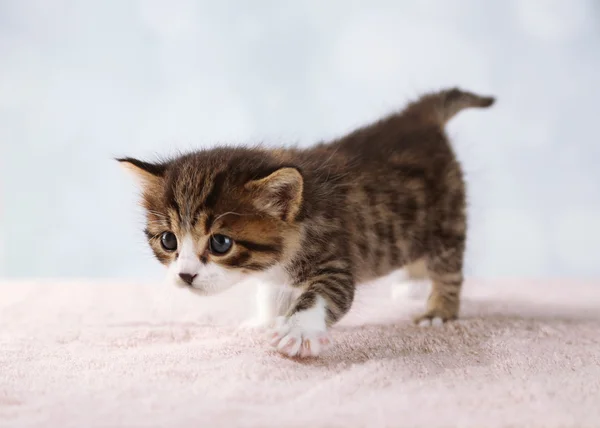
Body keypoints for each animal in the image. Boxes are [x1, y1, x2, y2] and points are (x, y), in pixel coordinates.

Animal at [116, 87, 492, 358]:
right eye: (169, 241)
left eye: (220, 243)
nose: (185, 276)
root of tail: (415, 118)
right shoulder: (275, 272)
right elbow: (269, 293)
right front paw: (263, 321)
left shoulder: (334, 257)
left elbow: (322, 295)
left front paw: (297, 330)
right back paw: (413, 284)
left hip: (447, 220)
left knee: (448, 268)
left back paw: (438, 310)